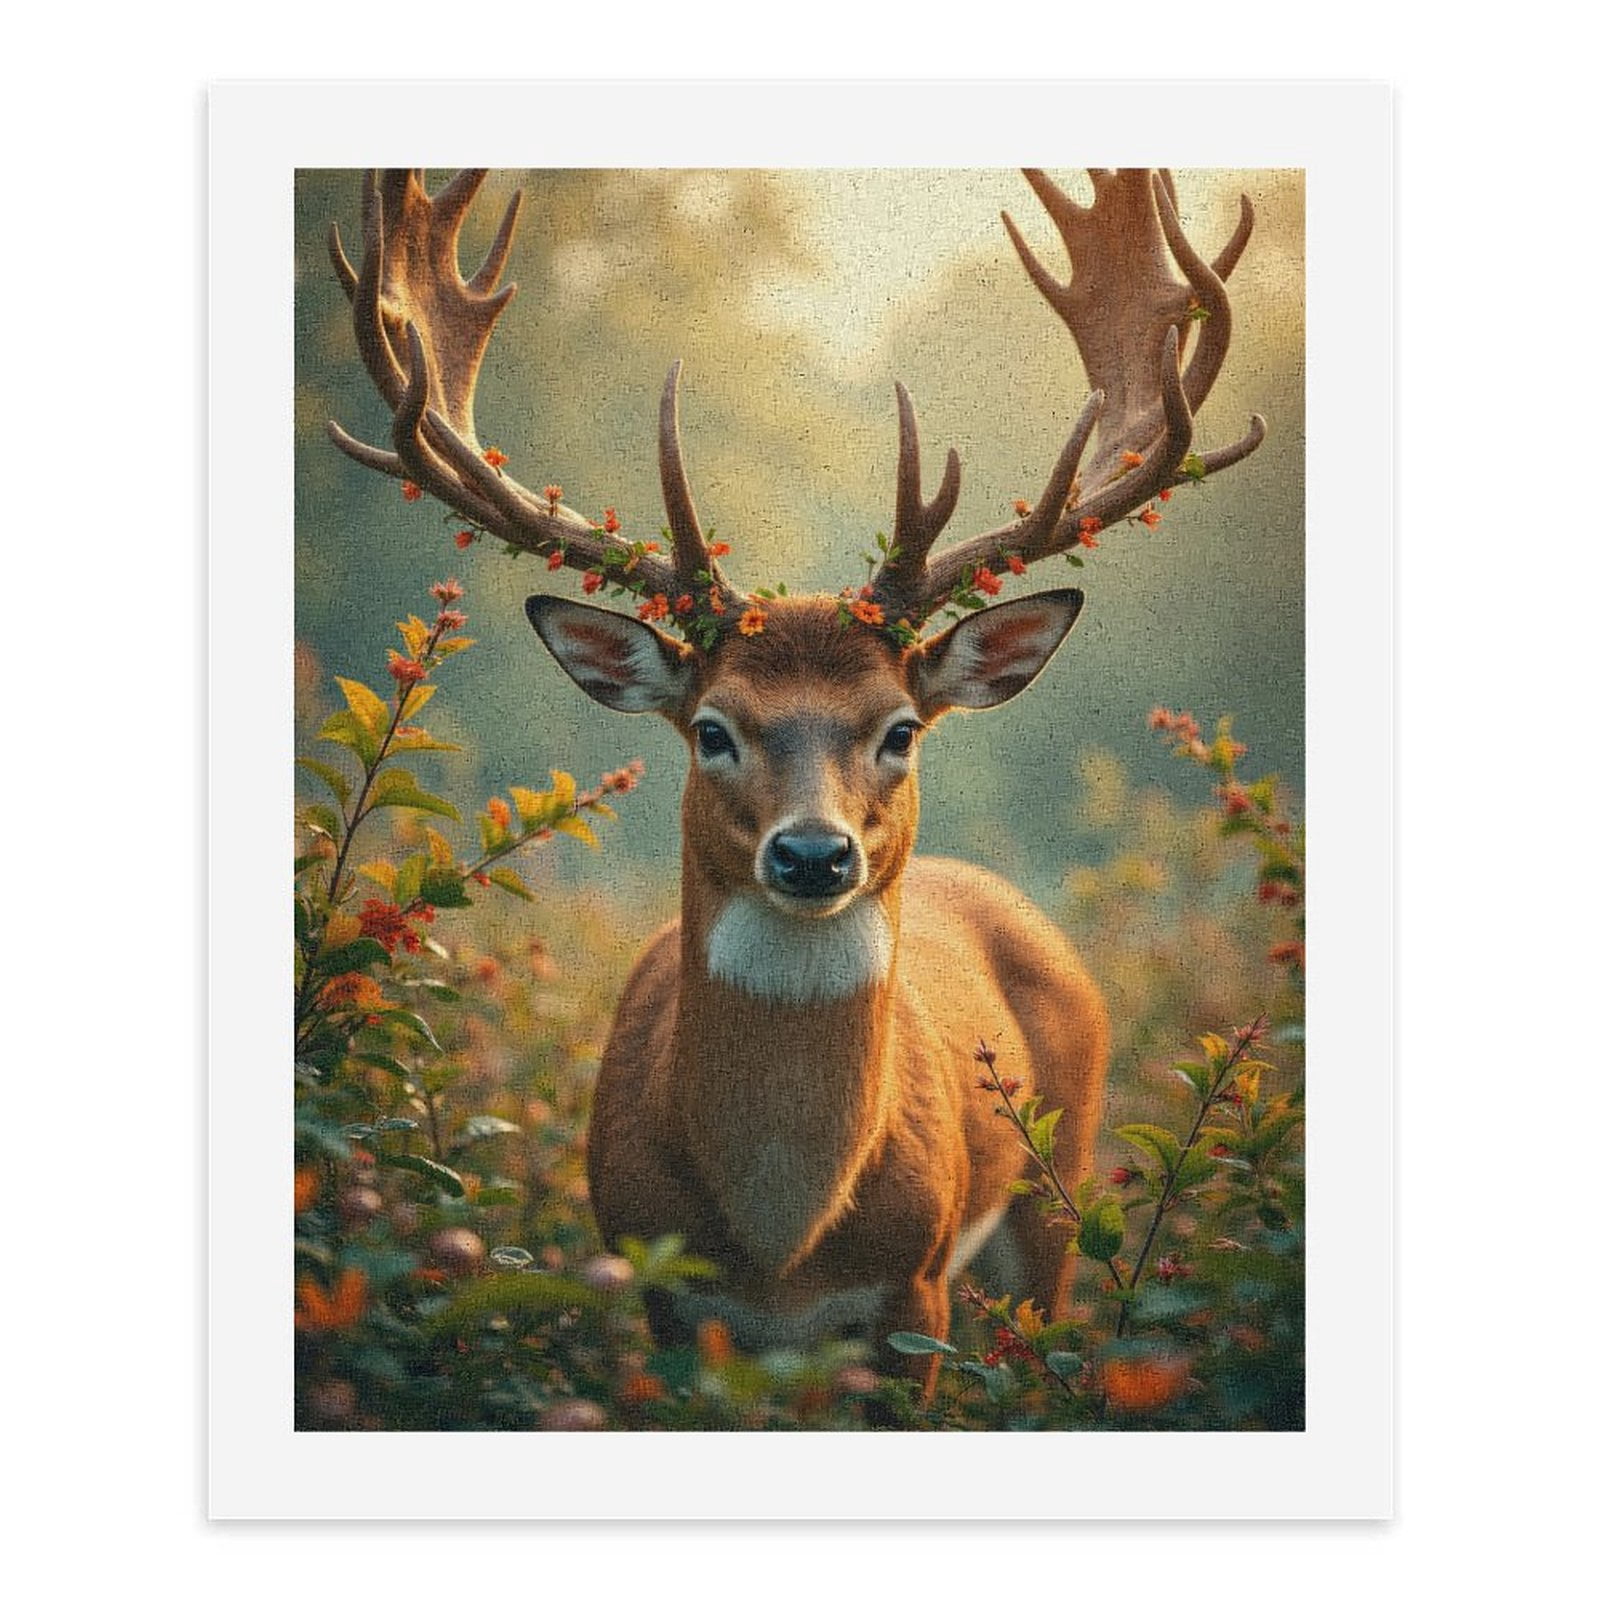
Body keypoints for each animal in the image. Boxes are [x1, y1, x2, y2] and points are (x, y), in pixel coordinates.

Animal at [327, 168, 1266, 1395]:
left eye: (901, 728)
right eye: (711, 729)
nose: (815, 853)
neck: (780, 1247)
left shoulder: (913, 1295)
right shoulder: (662, 1299)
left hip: (1062, 1192)